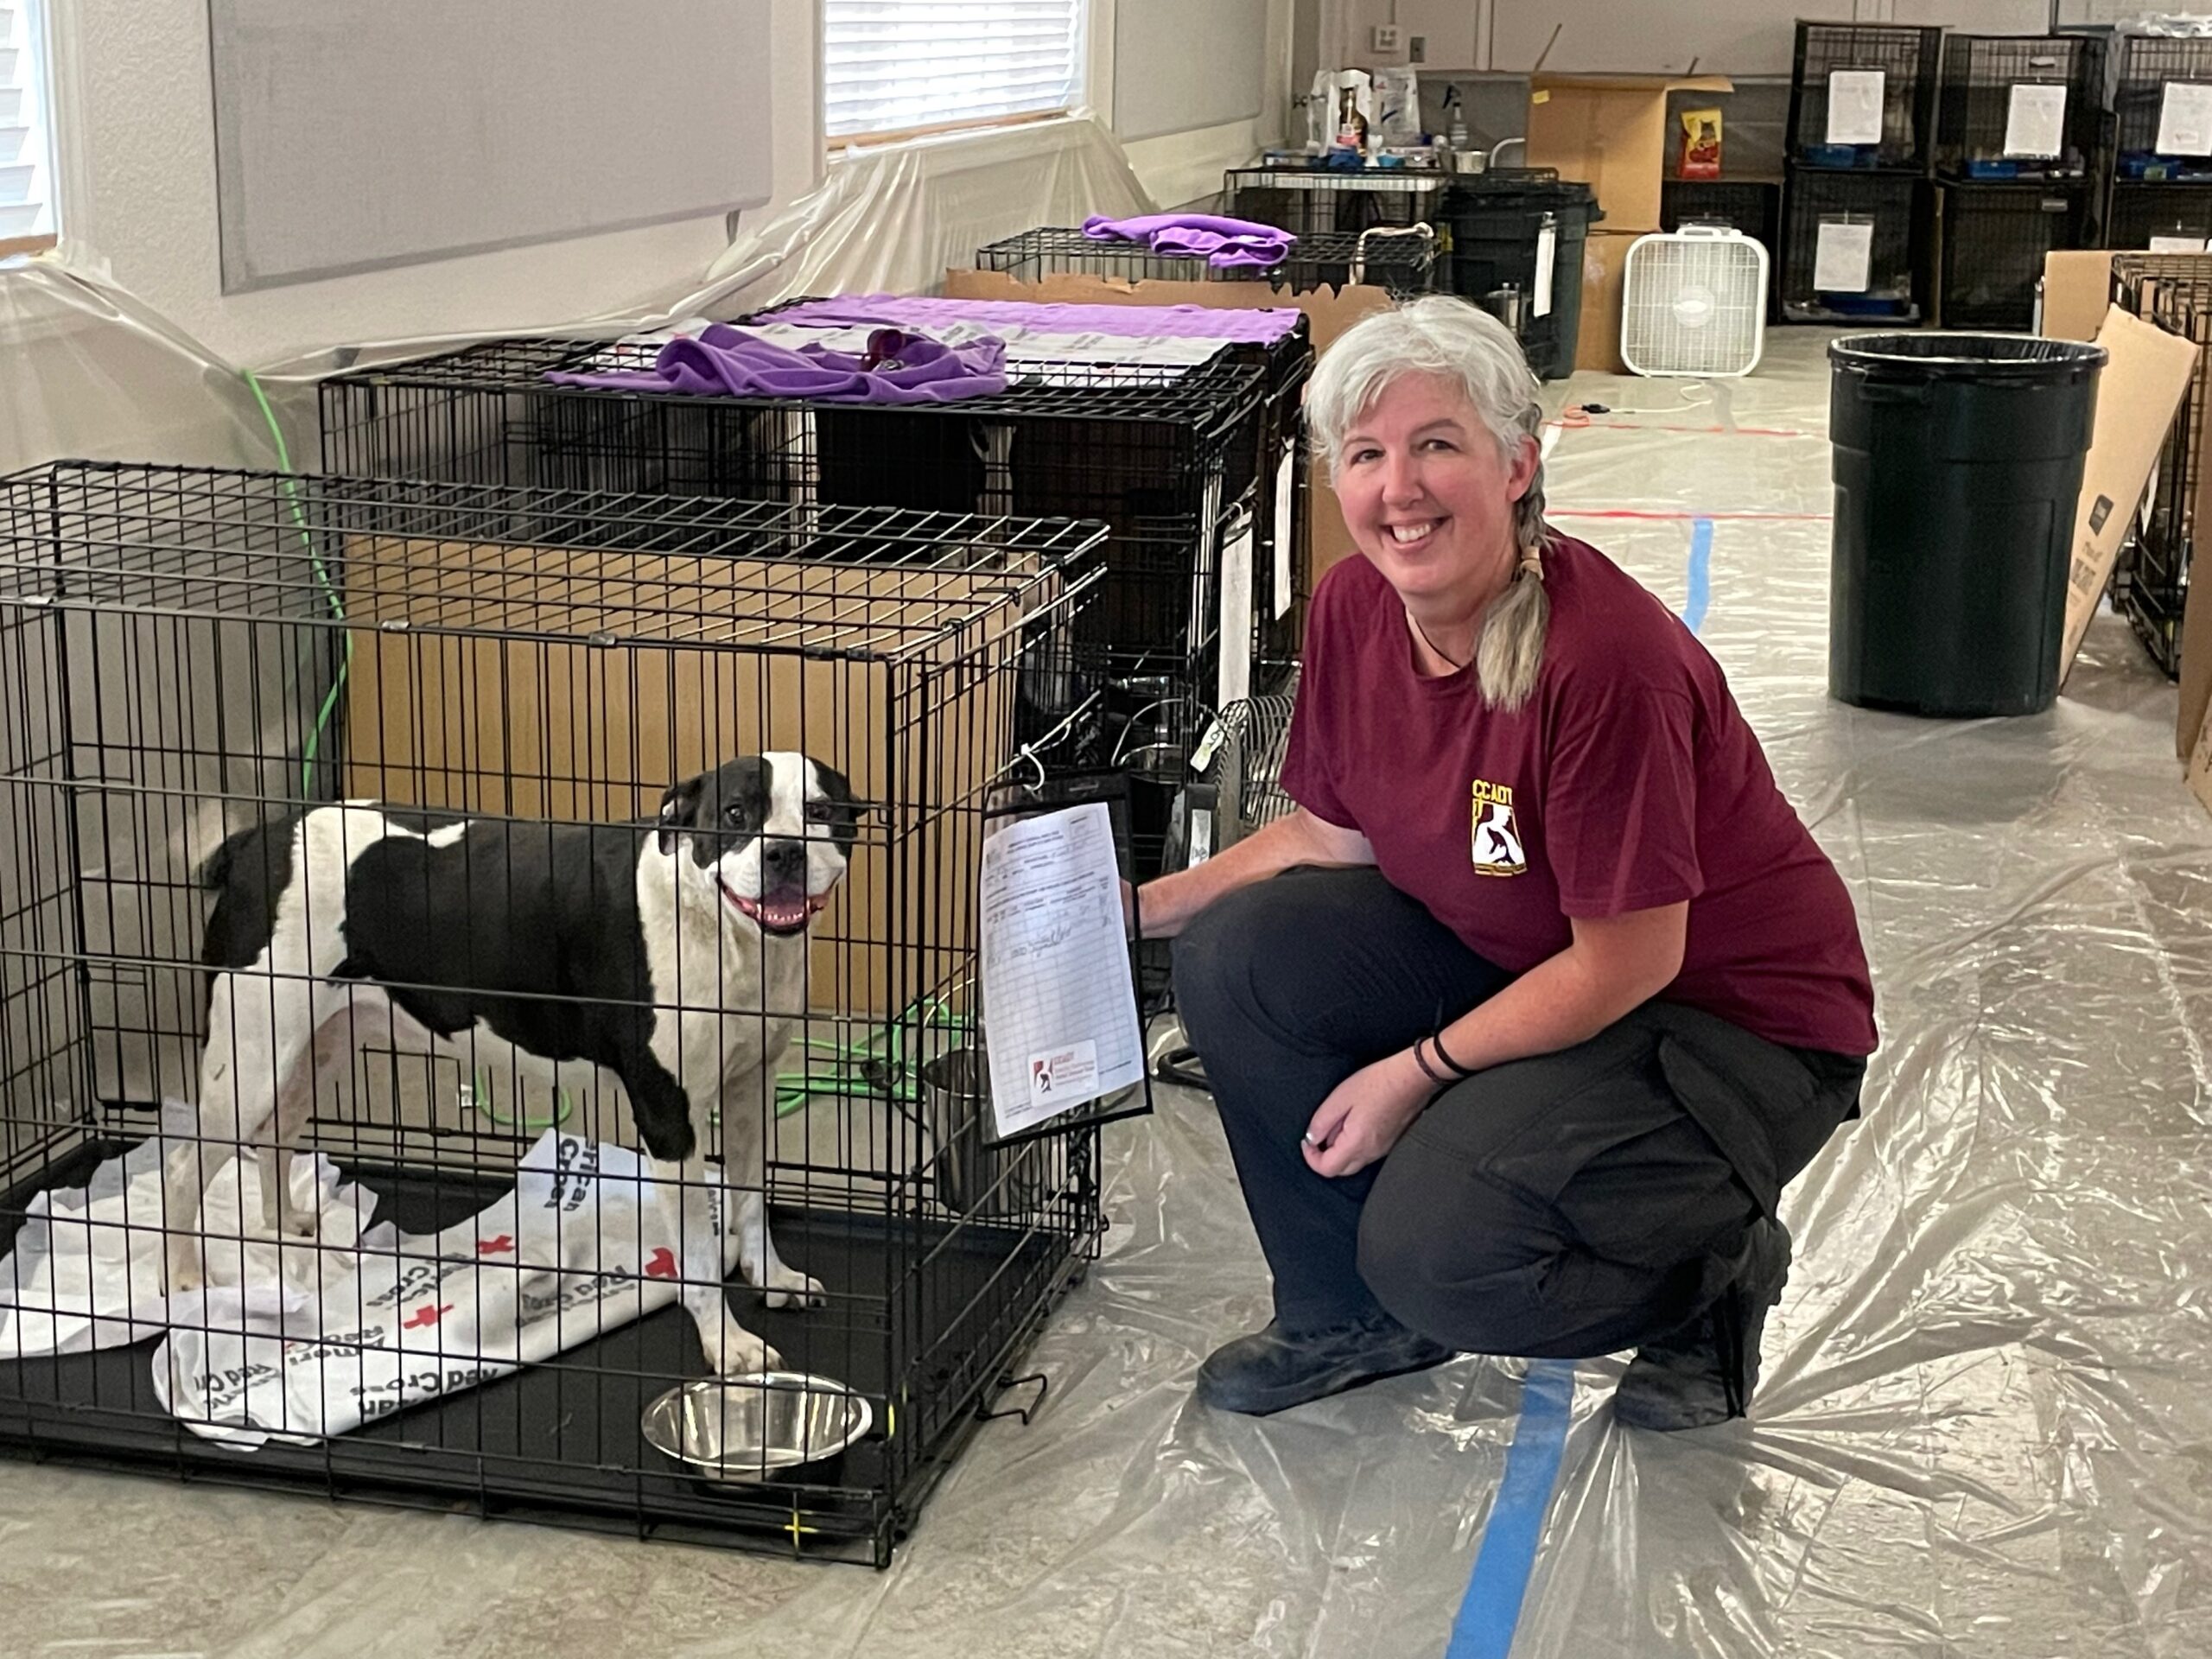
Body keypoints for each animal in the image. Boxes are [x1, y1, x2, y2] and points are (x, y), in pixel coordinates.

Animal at [160, 752, 867, 1380]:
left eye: (819, 811)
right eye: (736, 813)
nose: (785, 853)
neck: (713, 921)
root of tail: (254, 841)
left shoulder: (751, 1092)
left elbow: (750, 1199)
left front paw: (771, 1277)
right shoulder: (669, 1118)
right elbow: (695, 1253)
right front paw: (727, 1343)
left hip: (317, 1045)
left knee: (276, 1135)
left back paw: (283, 1227)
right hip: (249, 1061)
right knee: (183, 1167)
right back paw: (185, 1277)